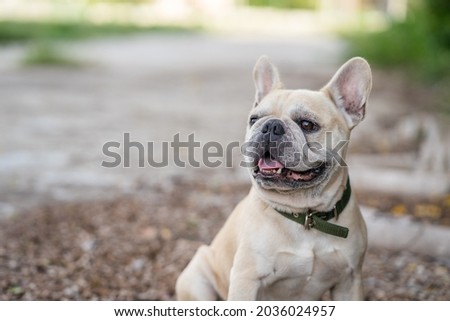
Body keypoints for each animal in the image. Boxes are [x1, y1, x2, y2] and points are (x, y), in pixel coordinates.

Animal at [174, 55, 370, 300]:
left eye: (307, 124)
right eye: (253, 119)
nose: (271, 125)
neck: (305, 215)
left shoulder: (350, 279)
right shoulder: (246, 279)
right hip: (197, 277)